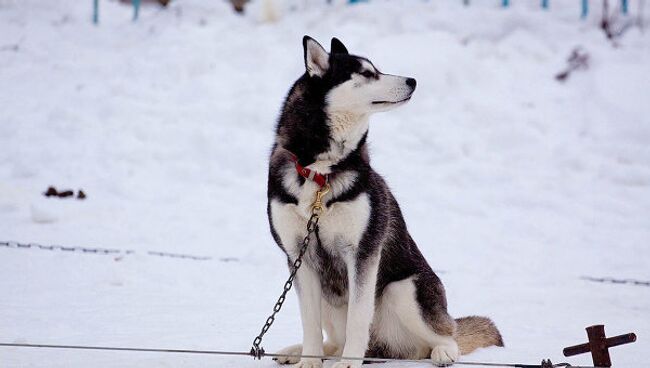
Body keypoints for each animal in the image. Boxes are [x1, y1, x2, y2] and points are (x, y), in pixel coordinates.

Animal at [264, 35, 502, 368]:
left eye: (375, 68)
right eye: (366, 73)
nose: (412, 80)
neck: (320, 175)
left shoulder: (363, 253)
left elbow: (358, 318)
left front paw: (349, 362)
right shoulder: (299, 257)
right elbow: (309, 321)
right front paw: (309, 360)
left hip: (402, 290)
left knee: (447, 337)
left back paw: (441, 352)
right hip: (328, 294)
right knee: (332, 341)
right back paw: (297, 351)